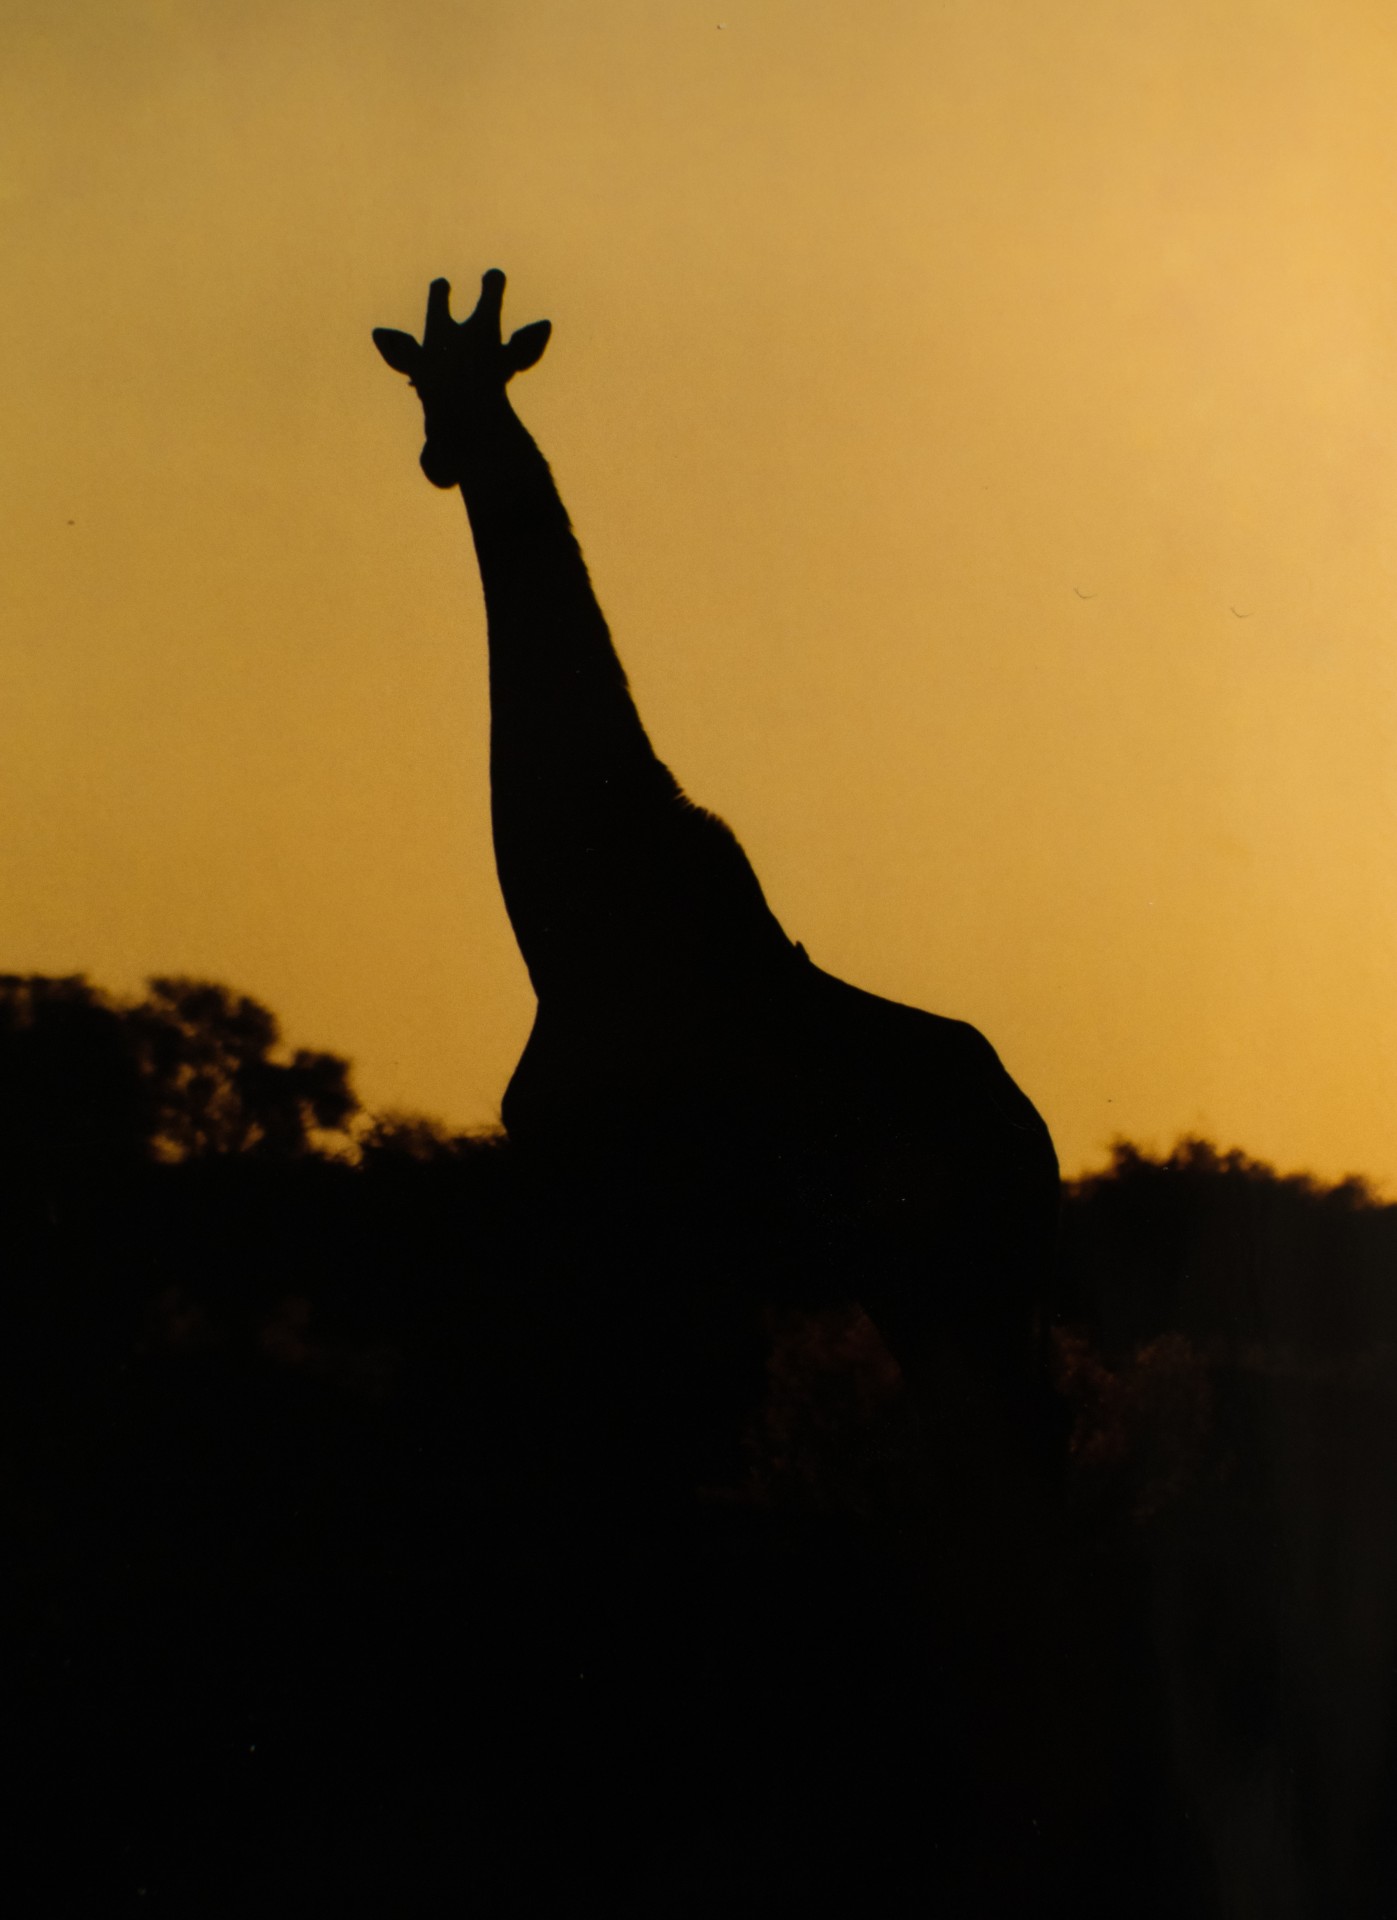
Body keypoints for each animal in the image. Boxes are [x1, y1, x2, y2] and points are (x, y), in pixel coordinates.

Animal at [372, 269, 1062, 1483]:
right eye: (419, 376)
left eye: (494, 373)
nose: (442, 453)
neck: (575, 913)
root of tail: (1036, 1145)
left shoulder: (625, 1219)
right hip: (938, 1296)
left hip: (950, 1290)